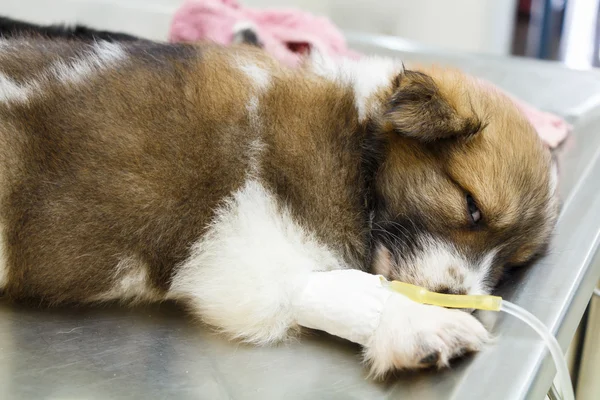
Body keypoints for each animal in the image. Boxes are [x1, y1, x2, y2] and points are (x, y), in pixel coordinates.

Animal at [0, 36, 556, 376]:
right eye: (471, 206)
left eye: (511, 266)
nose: (453, 296)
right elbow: (335, 286)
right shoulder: (235, 249)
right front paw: (413, 321)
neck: (354, 147)